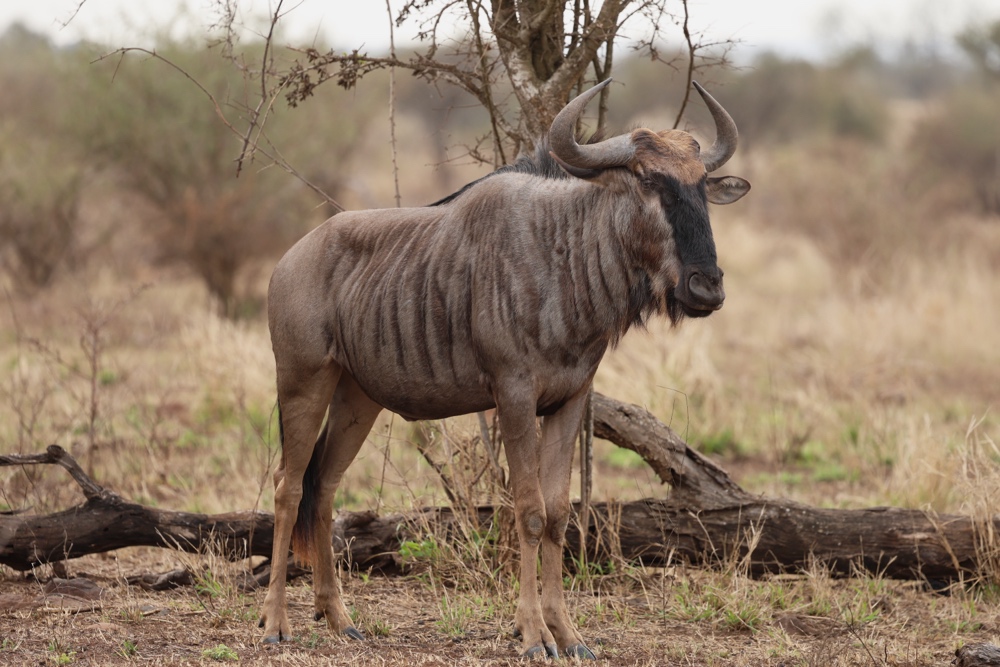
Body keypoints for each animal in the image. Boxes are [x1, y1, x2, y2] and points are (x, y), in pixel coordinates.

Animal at [262, 79, 750, 658]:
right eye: (650, 181)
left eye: (701, 187)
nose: (707, 287)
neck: (563, 258)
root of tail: (290, 258)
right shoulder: (514, 399)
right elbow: (529, 511)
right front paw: (534, 635)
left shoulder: (570, 401)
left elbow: (559, 515)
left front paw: (569, 635)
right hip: (303, 384)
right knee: (288, 486)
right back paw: (275, 624)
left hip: (358, 400)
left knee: (324, 489)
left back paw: (338, 618)